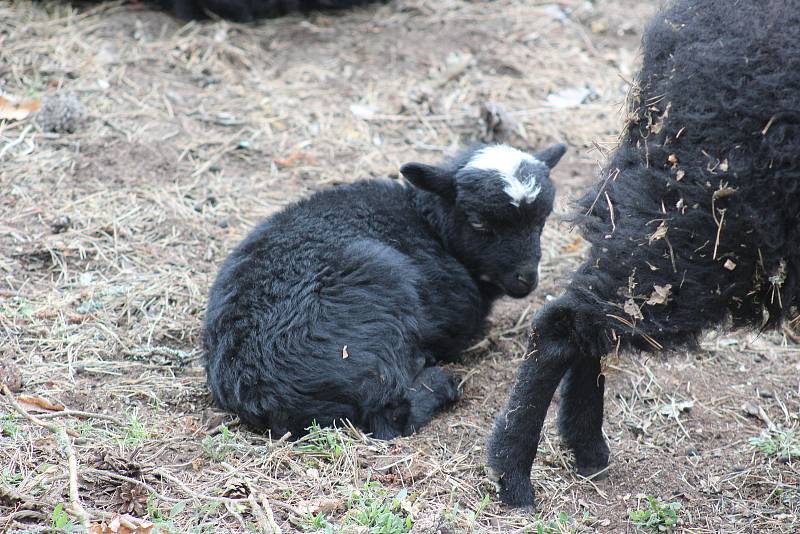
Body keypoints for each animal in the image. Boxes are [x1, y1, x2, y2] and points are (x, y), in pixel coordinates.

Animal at [206, 142, 568, 440]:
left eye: (542, 220)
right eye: (478, 223)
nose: (526, 279)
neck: (428, 223)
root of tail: (264, 389)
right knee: (390, 416)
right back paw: (437, 380)